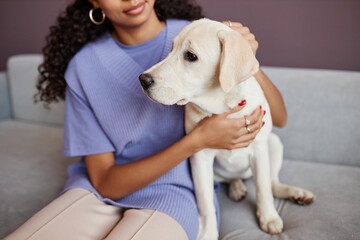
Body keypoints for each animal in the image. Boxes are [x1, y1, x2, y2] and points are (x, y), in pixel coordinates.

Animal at [139, 19, 314, 240]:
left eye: (190, 56)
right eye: (171, 49)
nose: (143, 80)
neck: (224, 106)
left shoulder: (259, 148)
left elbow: (263, 188)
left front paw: (268, 218)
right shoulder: (200, 157)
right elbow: (205, 203)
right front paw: (207, 233)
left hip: (273, 143)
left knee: (273, 183)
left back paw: (295, 193)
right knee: (232, 179)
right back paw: (236, 188)